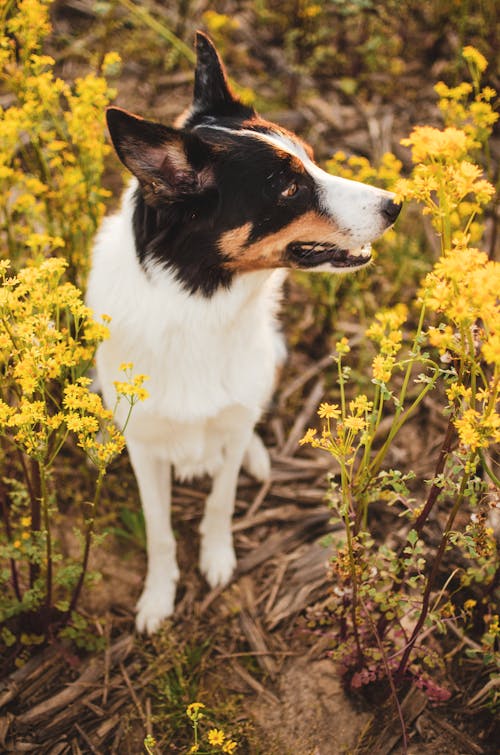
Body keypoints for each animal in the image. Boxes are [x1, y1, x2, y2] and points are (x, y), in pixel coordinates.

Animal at [85, 31, 398, 632]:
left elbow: (220, 500)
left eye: (312, 160)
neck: (199, 304)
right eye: (289, 189)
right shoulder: (145, 446)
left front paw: (217, 557)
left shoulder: (229, 427)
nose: (397, 204)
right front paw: (158, 598)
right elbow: (159, 532)